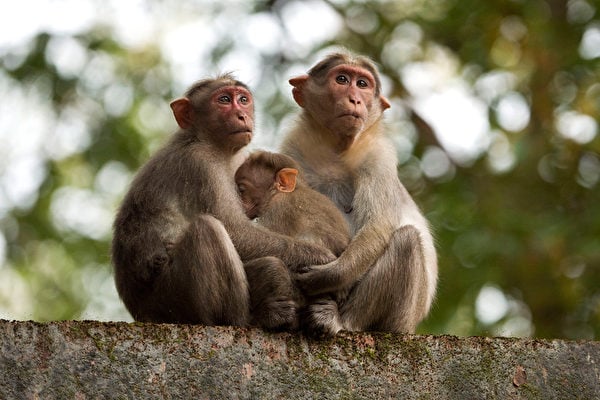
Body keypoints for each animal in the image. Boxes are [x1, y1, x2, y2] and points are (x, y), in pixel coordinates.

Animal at [112, 73, 336, 330]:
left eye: (243, 100)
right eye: (224, 100)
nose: (241, 115)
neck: (208, 142)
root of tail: (140, 312)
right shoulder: (200, 164)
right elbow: (235, 230)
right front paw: (320, 258)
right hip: (168, 301)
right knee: (207, 229)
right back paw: (246, 319)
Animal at [278, 50, 438, 334]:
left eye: (362, 84)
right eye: (342, 79)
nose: (355, 99)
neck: (336, 147)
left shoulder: (378, 155)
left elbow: (378, 225)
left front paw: (328, 276)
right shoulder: (292, 149)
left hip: (402, 318)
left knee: (407, 240)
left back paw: (341, 320)